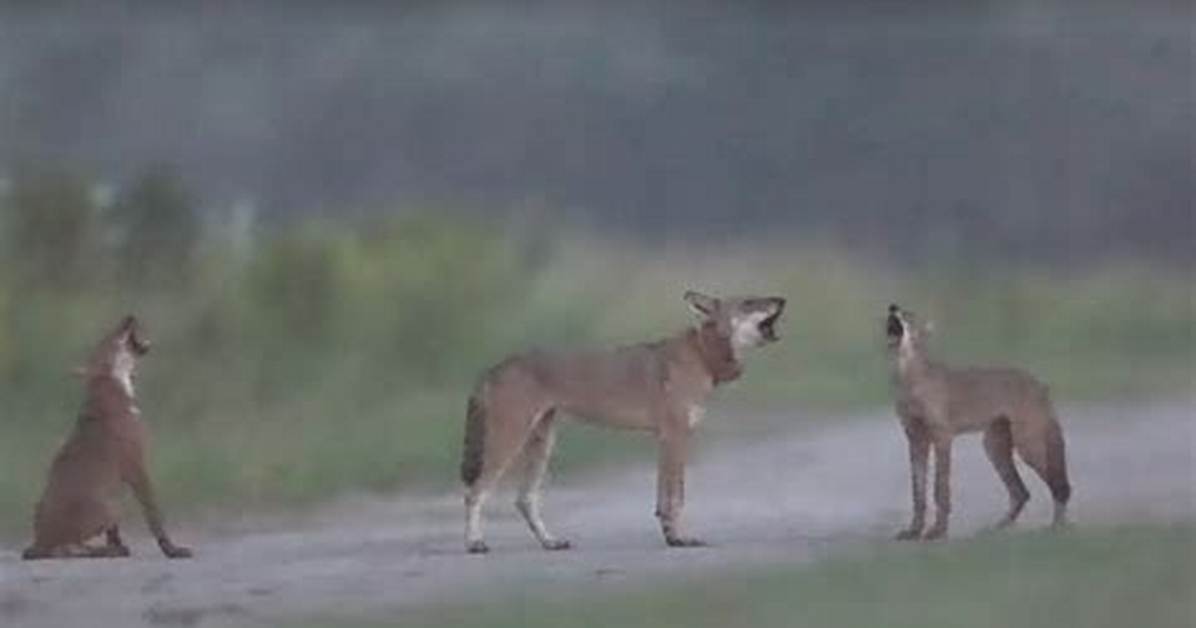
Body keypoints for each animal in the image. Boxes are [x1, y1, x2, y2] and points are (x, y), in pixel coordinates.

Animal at [23, 315, 193, 560]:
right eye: (109, 337)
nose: (129, 316)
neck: (115, 387)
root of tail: (39, 542)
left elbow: (115, 531)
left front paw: (119, 544)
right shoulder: (137, 465)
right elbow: (154, 515)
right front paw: (173, 550)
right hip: (108, 506)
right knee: (68, 548)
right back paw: (105, 550)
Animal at [460, 291, 785, 553]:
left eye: (758, 299)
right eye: (750, 302)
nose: (782, 299)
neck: (702, 356)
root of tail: (491, 369)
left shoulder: (668, 439)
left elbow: (664, 500)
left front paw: (671, 537)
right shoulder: (674, 436)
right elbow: (675, 498)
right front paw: (680, 539)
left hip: (542, 444)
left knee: (524, 499)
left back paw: (551, 542)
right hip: (509, 441)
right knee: (475, 492)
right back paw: (475, 543)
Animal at [885, 304, 1071, 541]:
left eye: (907, 315)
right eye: (896, 309)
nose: (893, 307)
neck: (906, 375)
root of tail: (1039, 382)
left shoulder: (942, 436)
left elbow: (940, 488)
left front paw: (938, 531)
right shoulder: (915, 438)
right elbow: (917, 492)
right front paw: (914, 531)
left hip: (1028, 446)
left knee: (1058, 486)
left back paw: (1057, 527)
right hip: (993, 447)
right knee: (1021, 492)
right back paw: (996, 529)